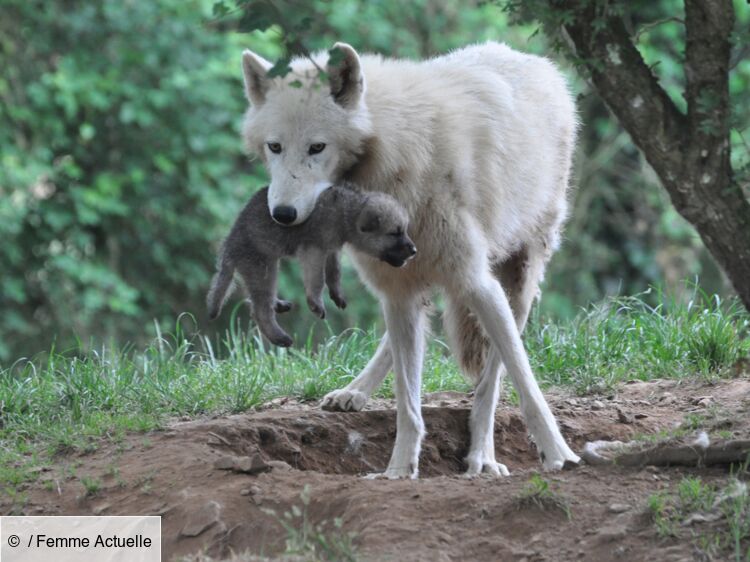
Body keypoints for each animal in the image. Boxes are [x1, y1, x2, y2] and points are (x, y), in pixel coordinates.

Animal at [241, 40, 580, 476]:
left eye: (317, 147)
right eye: (275, 146)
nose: (282, 214)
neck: (395, 155)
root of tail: (533, 60)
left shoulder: (477, 283)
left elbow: (519, 382)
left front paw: (557, 453)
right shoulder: (397, 290)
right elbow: (407, 402)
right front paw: (399, 470)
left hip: (518, 281)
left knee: (492, 376)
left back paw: (483, 455)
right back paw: (354, 392)